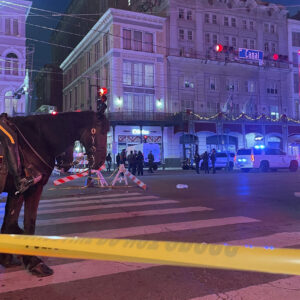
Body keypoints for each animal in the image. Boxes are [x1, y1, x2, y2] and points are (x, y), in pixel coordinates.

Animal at [0, 110, 109, 276]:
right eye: (102, 131)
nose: (101, 161)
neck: (39, 138)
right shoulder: (33, 189)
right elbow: (28, 224)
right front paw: (34, 262)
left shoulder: (16, 191)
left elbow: (10, 222)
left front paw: (8, 257)